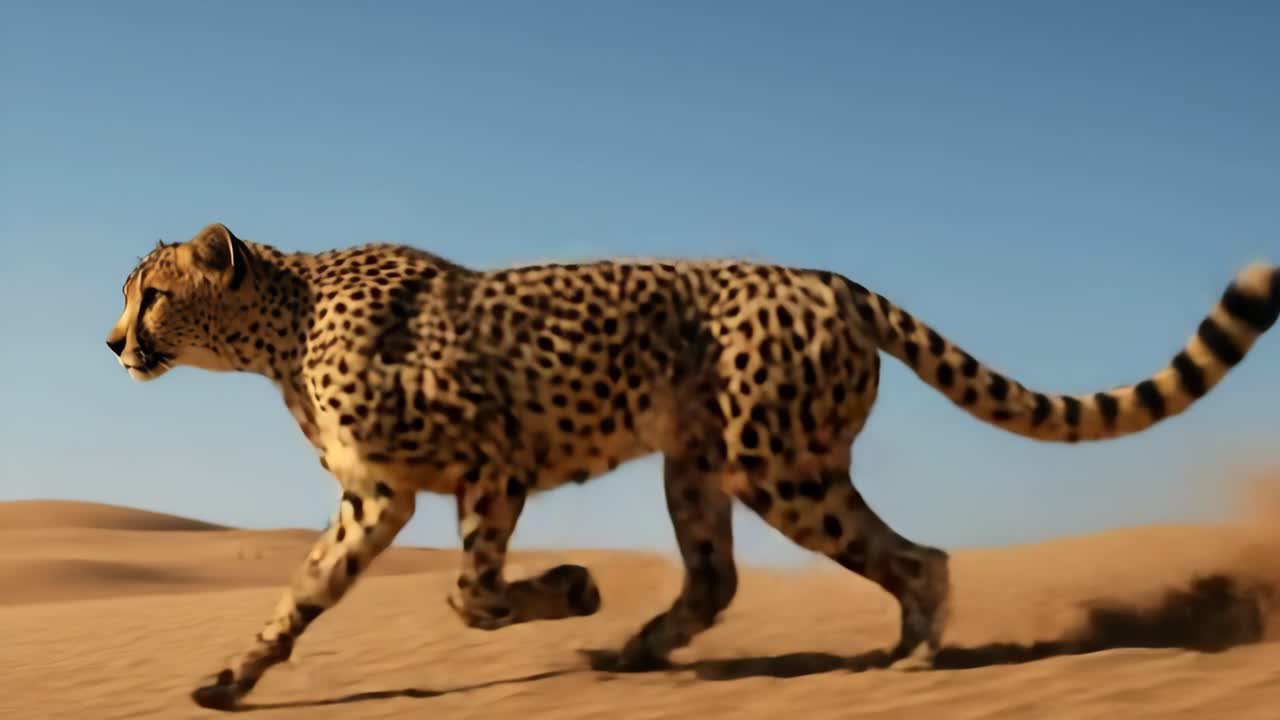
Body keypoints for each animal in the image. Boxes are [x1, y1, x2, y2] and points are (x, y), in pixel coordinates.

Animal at [103, 222, 1279, 710]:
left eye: (151, 294)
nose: (113, 342)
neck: (281, 325)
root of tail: (826, 277)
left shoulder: (491, 455)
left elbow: (471, 592)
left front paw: (572, 587)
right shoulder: (376, 494)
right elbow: (306, 592)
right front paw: (230, 679)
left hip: (779, 462)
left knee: (918, 556)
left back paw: (909, 661)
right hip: (702, 466)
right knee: (718, 577)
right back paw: (637, 653)